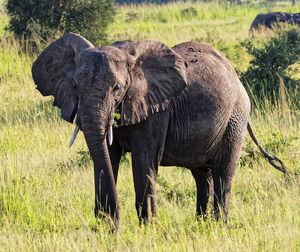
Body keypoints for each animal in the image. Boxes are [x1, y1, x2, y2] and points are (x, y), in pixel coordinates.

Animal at [31, 32, 286, 227]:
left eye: (117, 88)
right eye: (75, 86)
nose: (114, 221)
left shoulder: (156, 110)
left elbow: (144, 161)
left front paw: (147, 227)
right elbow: (107, 158)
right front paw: (106, 226)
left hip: (236, 117)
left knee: (224, 172)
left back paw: (218, 226)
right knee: (202, 175)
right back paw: (201, 225)